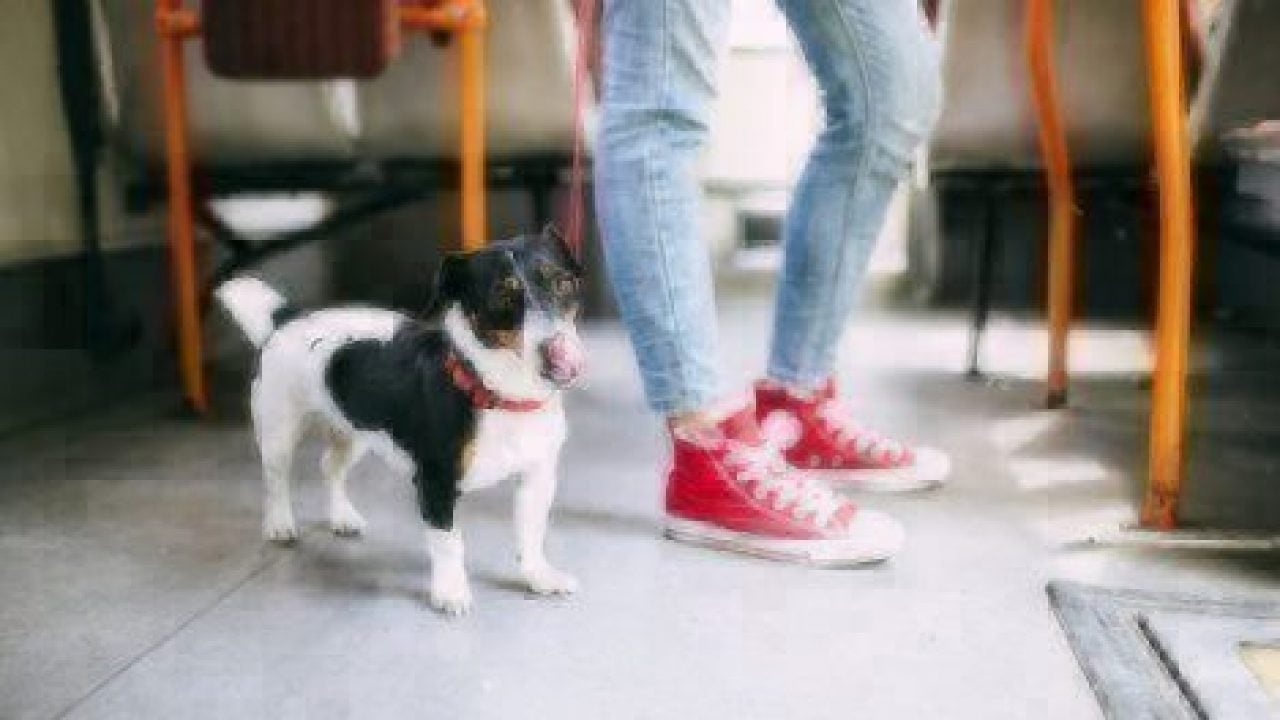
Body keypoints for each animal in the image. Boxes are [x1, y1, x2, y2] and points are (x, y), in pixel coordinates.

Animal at [215, 225, 586, 609]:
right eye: (501, 295)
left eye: (563, 283)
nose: (557, 351)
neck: (498, 393)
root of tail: (287, 319)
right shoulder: (436, 483)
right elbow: (449, 544)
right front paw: (450, 593)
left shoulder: (537, 478)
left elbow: (531, 536)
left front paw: (539, 577)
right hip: (279, 432)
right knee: (275, 481)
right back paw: (280, 524)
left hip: (354, 431)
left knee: (329, 466)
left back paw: (342, 517)